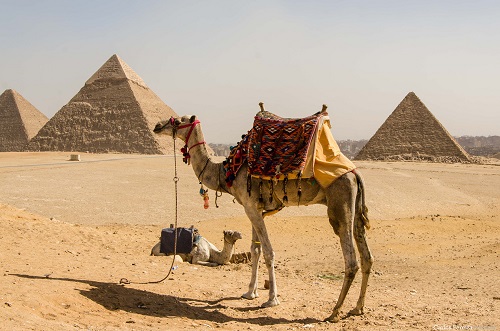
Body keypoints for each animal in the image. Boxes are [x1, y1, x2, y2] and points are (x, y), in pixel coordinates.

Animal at [154, 112, 374, 324]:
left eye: (178, 121)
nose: (157, 126)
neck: (227, 171)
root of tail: (355, 174)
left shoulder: (250, 206)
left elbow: (268, 251)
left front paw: (272, 299)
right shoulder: (255, 208)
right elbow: (255, 250)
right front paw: (250, 292)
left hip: (340, 204)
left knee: (351, 261)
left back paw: (335, 312)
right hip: (355, 209)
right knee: (367, 257)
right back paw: (357, 308)